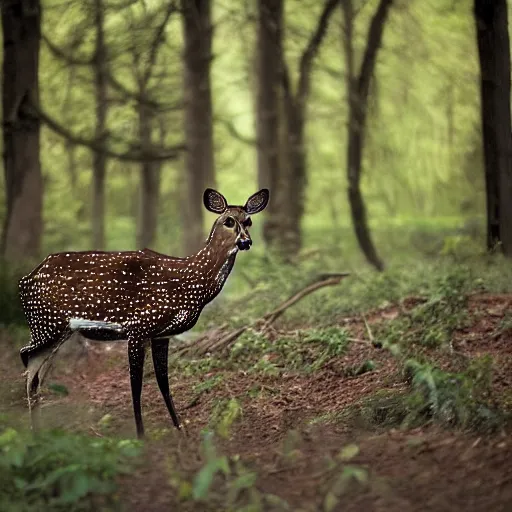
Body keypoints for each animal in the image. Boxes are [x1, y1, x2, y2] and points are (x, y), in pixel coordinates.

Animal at [18, 188, 270, 436]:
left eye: (248, 221)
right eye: (228, 221)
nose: (246, 241)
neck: (190, 281)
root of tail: (25, 280)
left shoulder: (162, 334)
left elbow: (163, 381)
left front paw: (180, 428)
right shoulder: (138, 326)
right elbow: (136, 385)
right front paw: (141, 435)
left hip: (58, 330)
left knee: (36, 369)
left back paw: (38, 431)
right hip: (45, 322)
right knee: (27, 358)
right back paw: (34, 431)